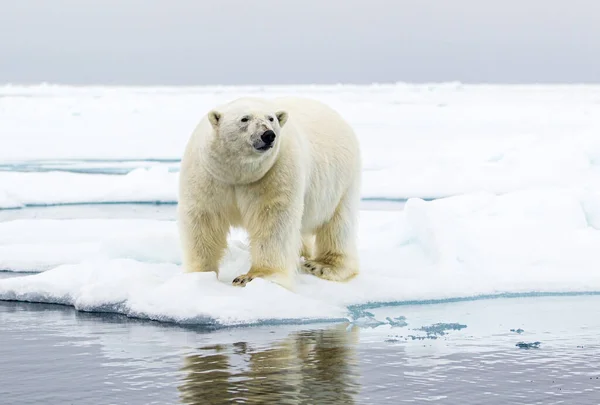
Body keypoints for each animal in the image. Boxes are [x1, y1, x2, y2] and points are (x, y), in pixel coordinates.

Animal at [176, 96, 358, 288]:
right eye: (245, 118)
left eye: (271, 118)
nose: (268, 135)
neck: (238, 174)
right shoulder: (208, 174)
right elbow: (203, 218)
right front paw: (200, 274)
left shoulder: (275, 171)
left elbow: (273, 219)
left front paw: (253, 277)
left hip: (342, 181)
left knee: (338, 224)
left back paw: (323, 266)